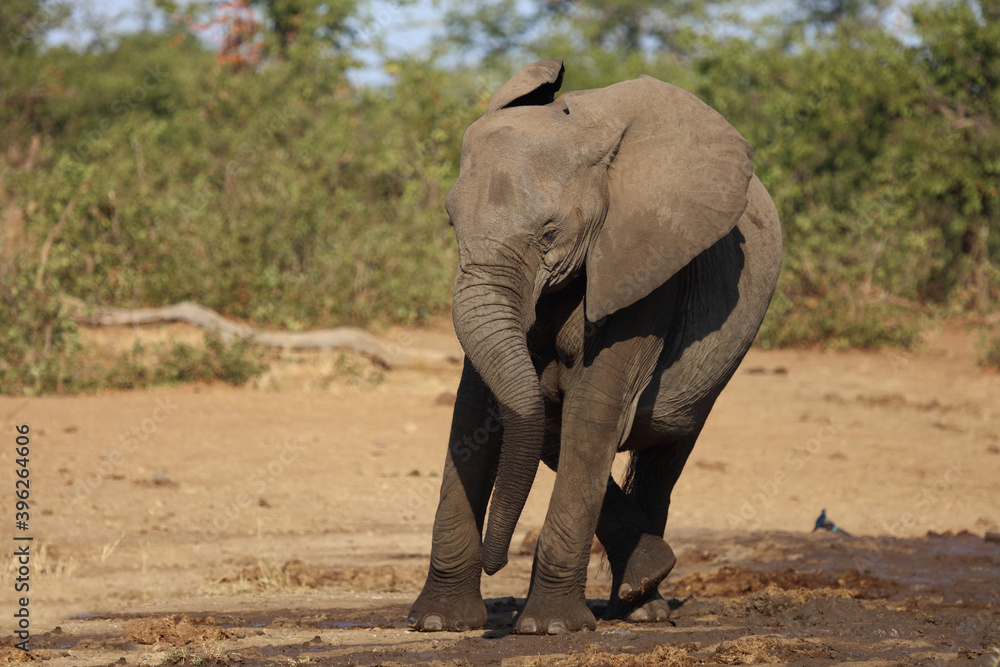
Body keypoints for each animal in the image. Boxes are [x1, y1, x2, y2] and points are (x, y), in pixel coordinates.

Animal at [407, 60, 782, 634]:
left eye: (549, 233)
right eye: (452, 223)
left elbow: (593, 408)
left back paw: (643, 603)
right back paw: (643, 589)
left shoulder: (647, 260)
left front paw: (551, 627)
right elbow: (477, 410)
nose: (498, 563)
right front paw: (438, 622)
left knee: (662, 455)